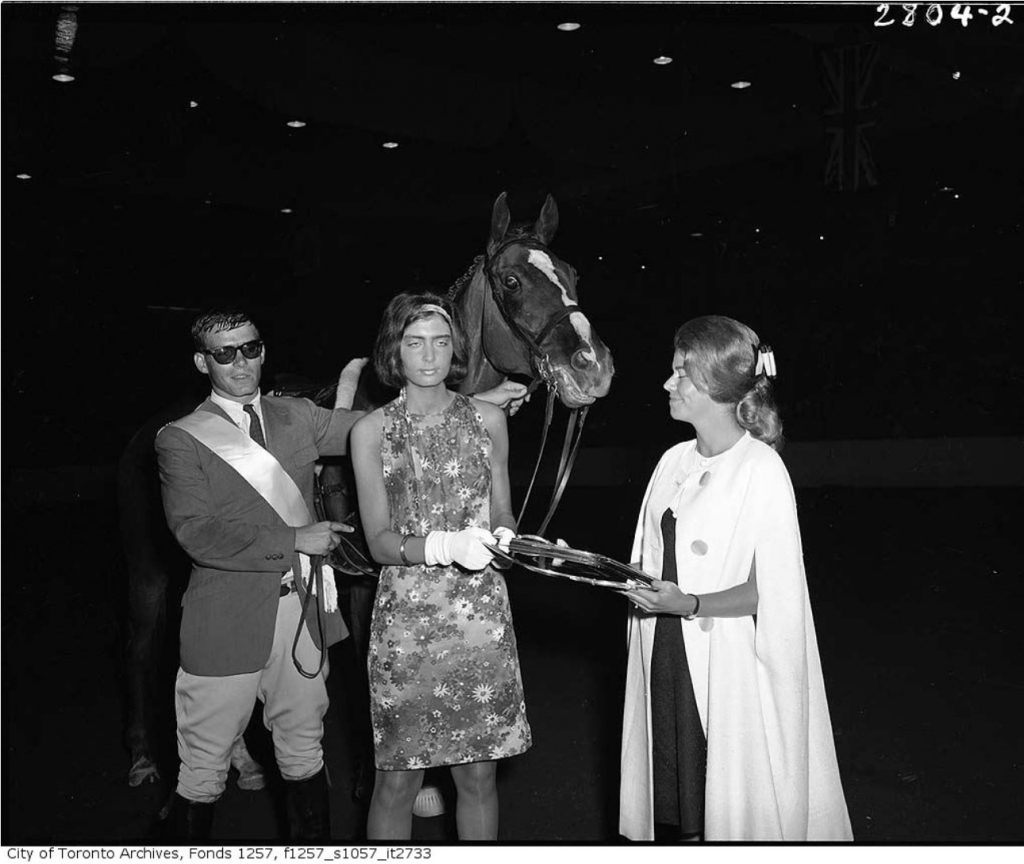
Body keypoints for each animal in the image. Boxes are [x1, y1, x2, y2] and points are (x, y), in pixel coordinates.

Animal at [121, 189, 614, 810]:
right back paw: (144, 759)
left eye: (572, 273)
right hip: (149, 574)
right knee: (144, 652)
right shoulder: (363, 582)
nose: (591, 367)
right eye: (511, 281)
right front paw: (369, 777)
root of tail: (159, 426)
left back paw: (245, 762)